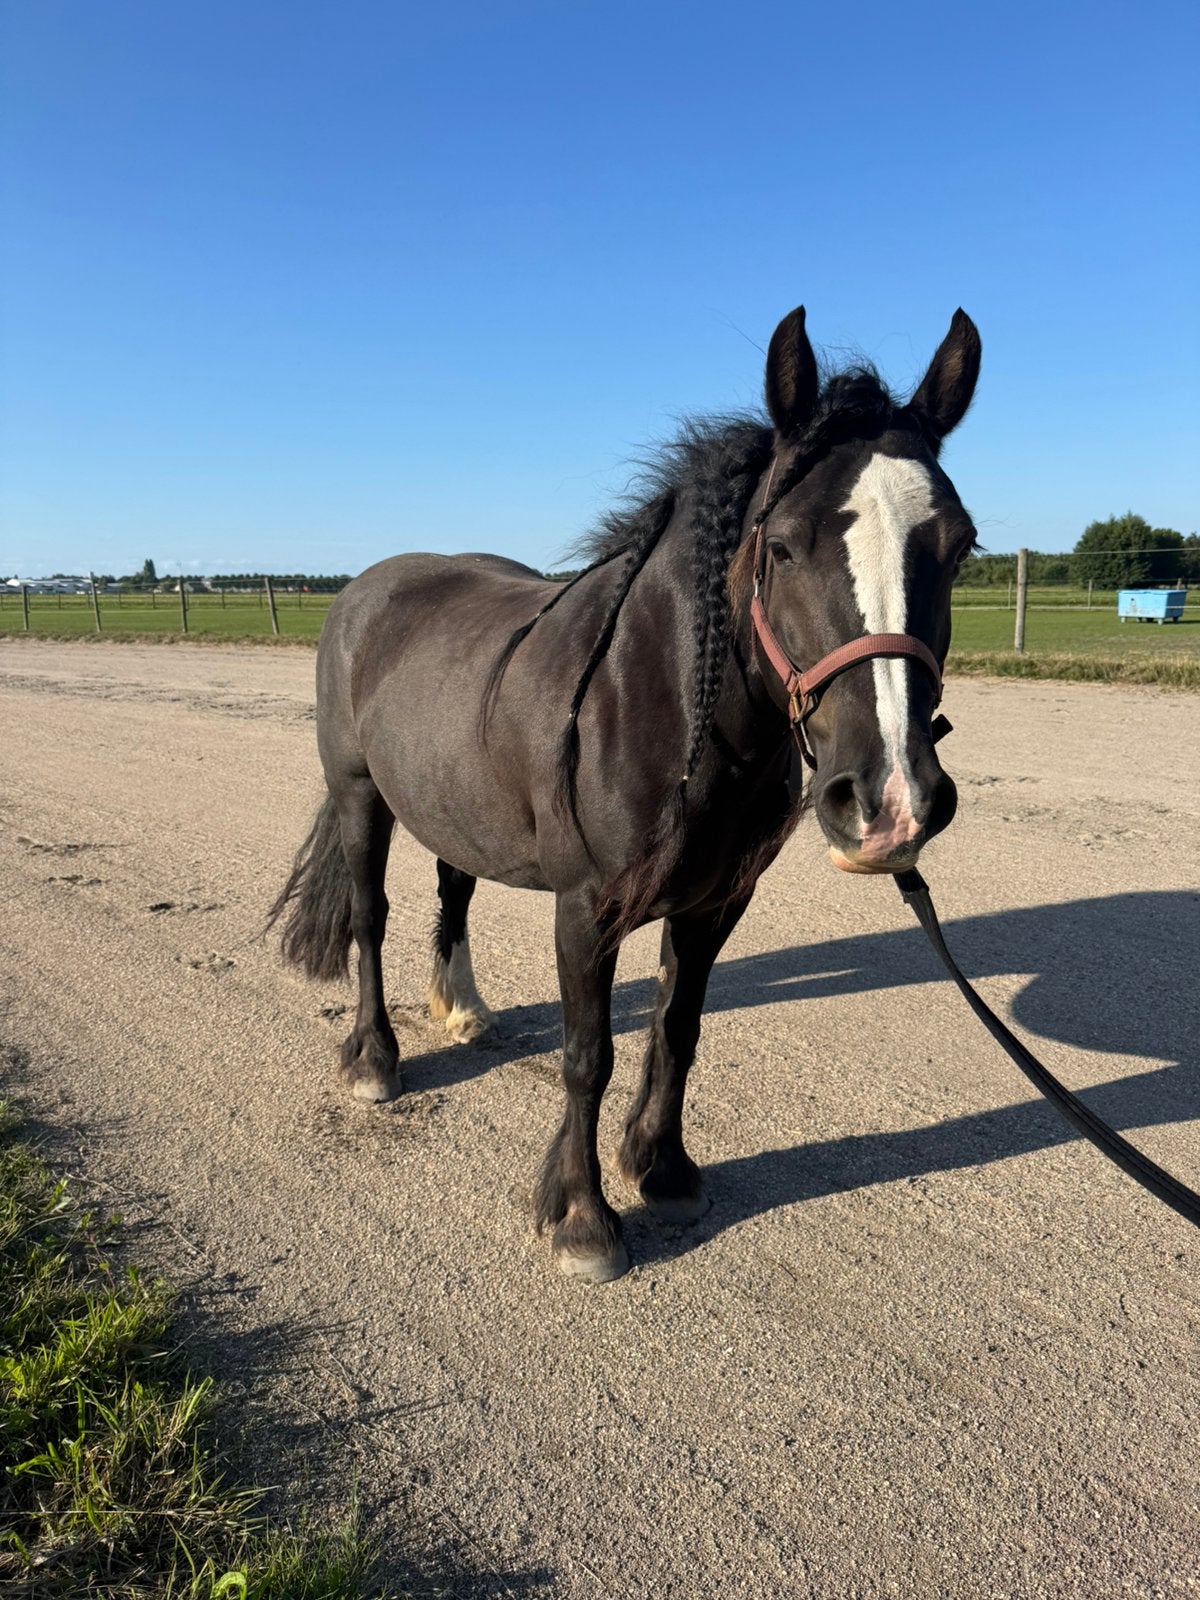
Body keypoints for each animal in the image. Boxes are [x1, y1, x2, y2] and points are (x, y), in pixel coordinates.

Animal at [269, 304, 982, 1283]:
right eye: (783, 545)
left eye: (959, 545)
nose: (891, 802)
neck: (657, 701)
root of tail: (366, 589)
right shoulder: (586, 909)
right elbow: (588, 1056)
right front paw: (581, 1216)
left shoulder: (715, 903)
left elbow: (678, 1029)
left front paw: (663, 1168)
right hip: (359, 797)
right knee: (370, 917)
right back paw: (376, 1059)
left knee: (454, 889)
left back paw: (464, 1009)